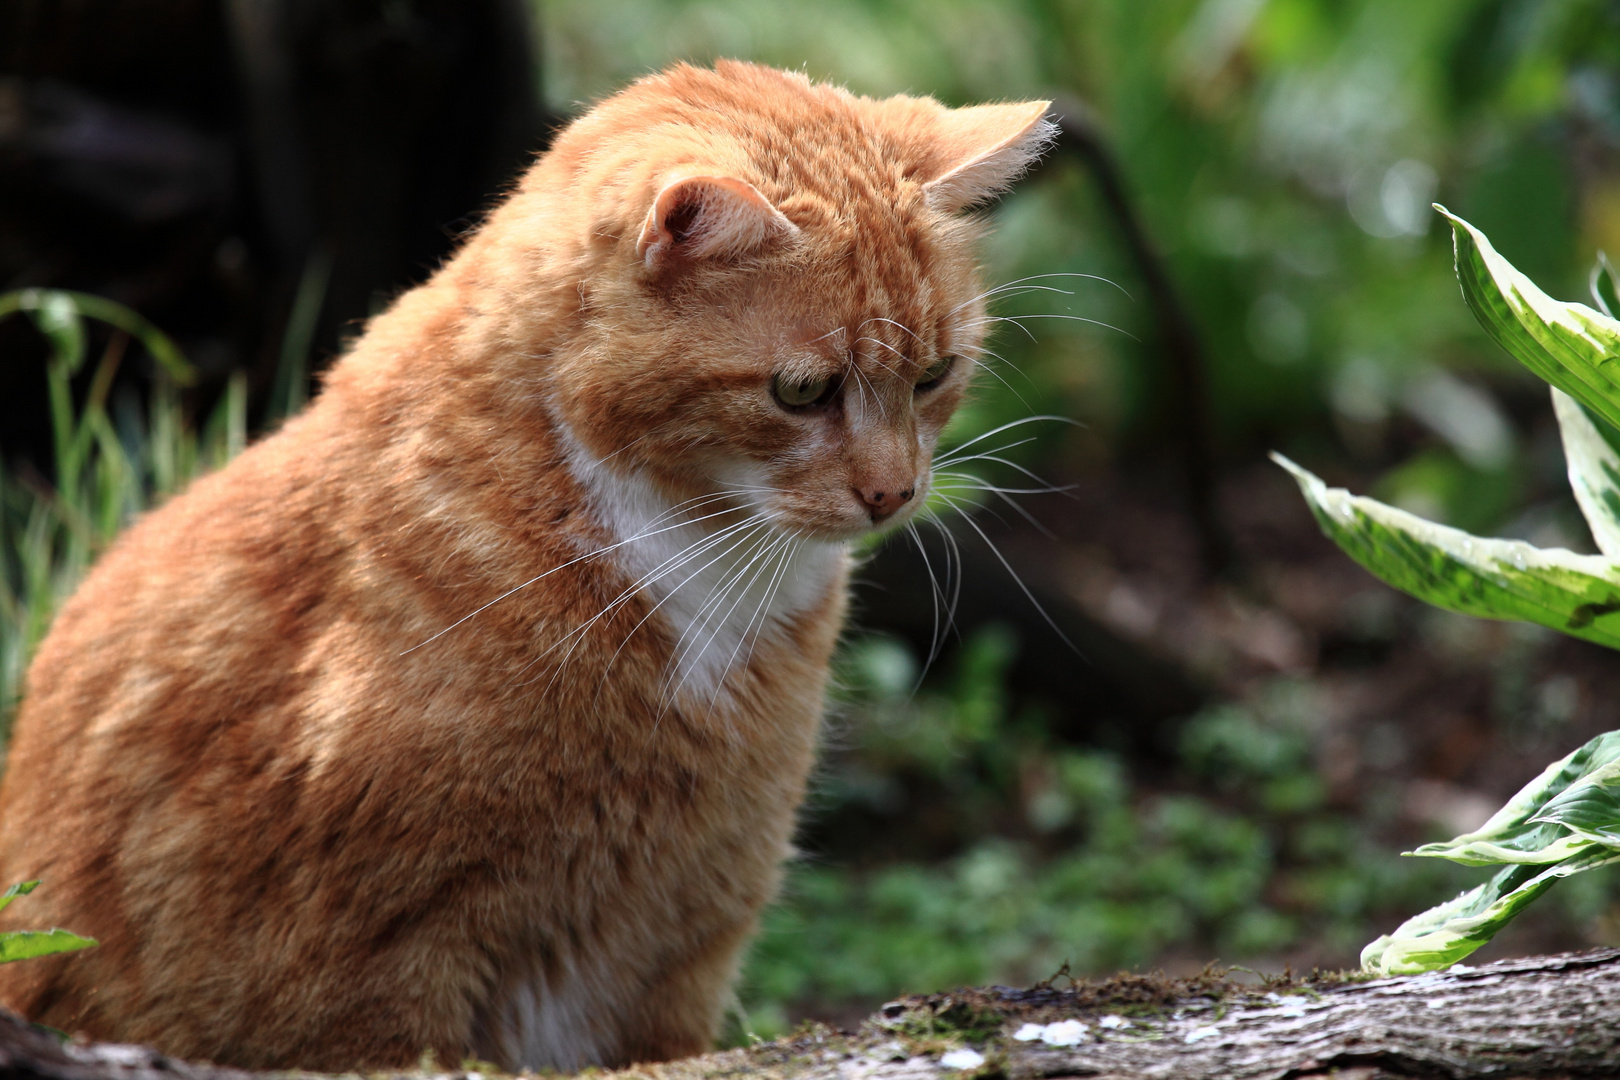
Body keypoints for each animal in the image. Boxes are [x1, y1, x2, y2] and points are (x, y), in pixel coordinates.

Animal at [0, 61, 1049, 1075]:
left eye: (933, 376)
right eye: (802, 392)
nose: (894, 493)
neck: (698, 565)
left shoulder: (684, 941)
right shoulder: (373, 962)